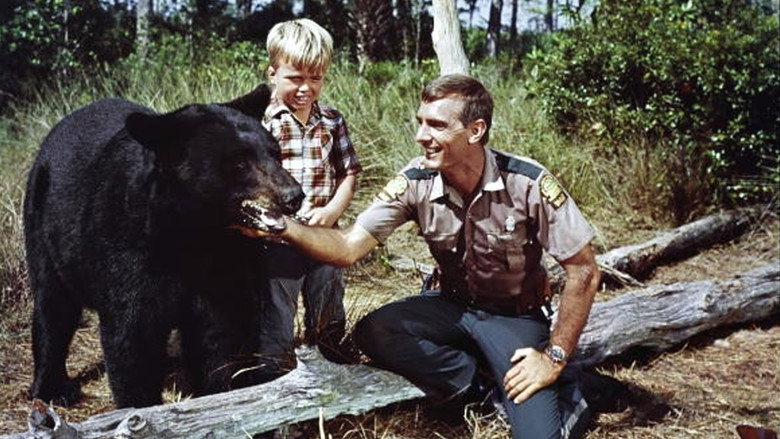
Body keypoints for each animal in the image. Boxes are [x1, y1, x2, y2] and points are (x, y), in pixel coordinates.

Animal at [23, 84, 304, 409]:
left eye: (275, 153)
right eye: (238, 163)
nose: (293, 195)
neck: (192, 234)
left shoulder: (224, 263)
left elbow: (221, 334)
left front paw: (221, 394)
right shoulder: (128, 249)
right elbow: (132, 337)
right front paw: (140, 404)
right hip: (43, 226)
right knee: (53, 307)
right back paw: (52, 388)